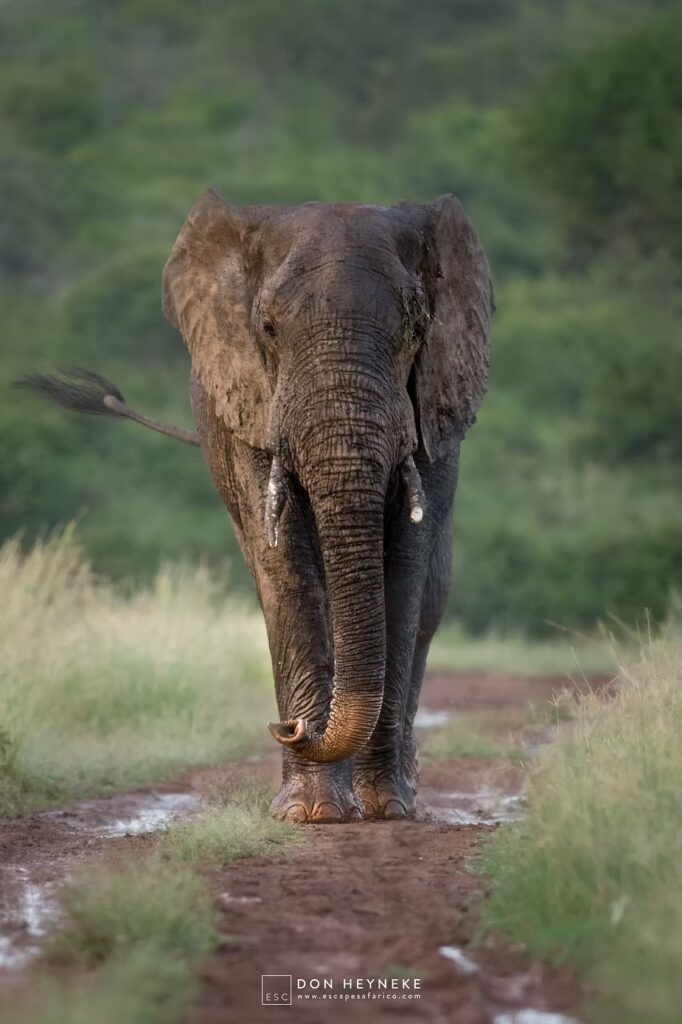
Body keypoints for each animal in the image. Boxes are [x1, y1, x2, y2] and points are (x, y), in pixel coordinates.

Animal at [17, 191, 493, 824]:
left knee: (427, 607)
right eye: (267, 329)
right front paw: (310, 815)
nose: (288, 728)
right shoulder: (245, 410)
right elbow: (285, 565)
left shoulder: (433, 409)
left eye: (417, 330)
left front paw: (388, 809)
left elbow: (404, 566)